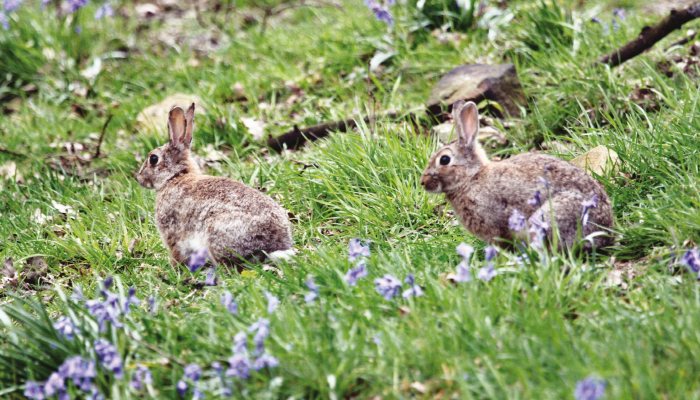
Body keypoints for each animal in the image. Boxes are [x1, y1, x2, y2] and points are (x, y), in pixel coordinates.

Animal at [136, 103, 293, 268]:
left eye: (153, 159)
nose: (138, 178)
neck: (175, 177)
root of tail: (273, 245)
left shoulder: (172, 233)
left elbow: (176, 253)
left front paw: (173, 267)